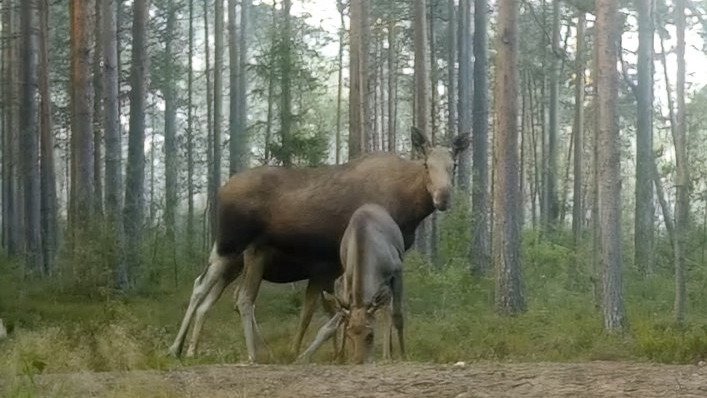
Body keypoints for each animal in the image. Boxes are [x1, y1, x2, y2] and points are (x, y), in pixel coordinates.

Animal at [298, 205, 406, 364]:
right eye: (349, 335)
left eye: (370, 335)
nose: (359, 360)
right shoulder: (346, 278)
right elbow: (342, 317)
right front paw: (340, 356)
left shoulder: (397, 270)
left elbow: (397, 316)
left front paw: (402, 355)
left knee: (388, 311)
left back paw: (389, 353)